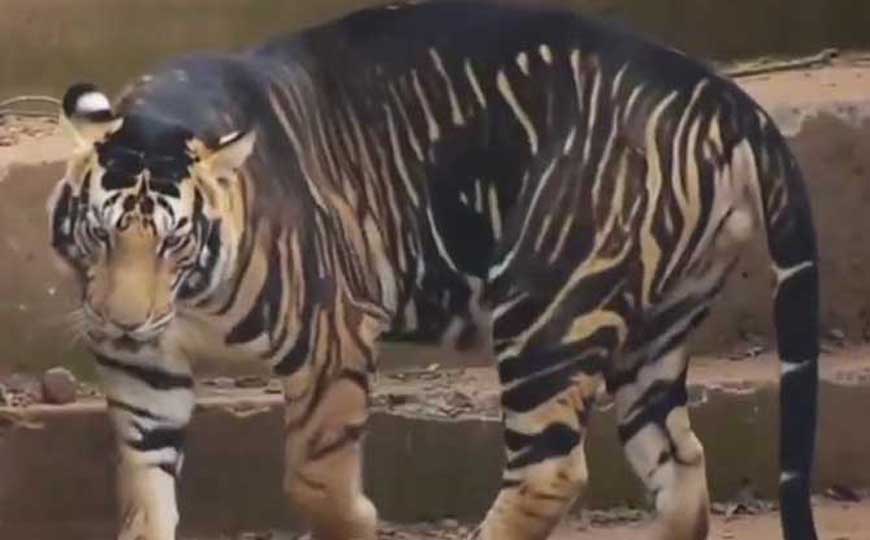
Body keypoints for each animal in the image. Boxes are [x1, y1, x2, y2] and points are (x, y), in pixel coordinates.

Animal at [47, 1, 820, 539]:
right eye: (102, 235)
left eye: (174, 242)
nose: (125, 320)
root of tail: (726, 97)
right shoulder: (143, 374)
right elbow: (144, 495)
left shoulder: (330, 338)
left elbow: (319, 483)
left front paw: (356, 518)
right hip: (655, 328)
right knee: (681, 466)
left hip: (550, 309)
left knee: (550, 470)